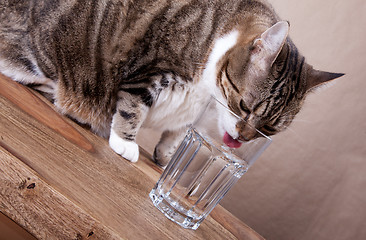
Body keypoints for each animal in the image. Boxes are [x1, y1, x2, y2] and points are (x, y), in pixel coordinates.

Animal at [0, 0, 344, 165]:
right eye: (245, 106)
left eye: (270, 128)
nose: (243, 138)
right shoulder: (150, 68)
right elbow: (132, 108)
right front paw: (125, 143)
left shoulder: (194, 114)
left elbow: (179, 134)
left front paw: (167, 156)